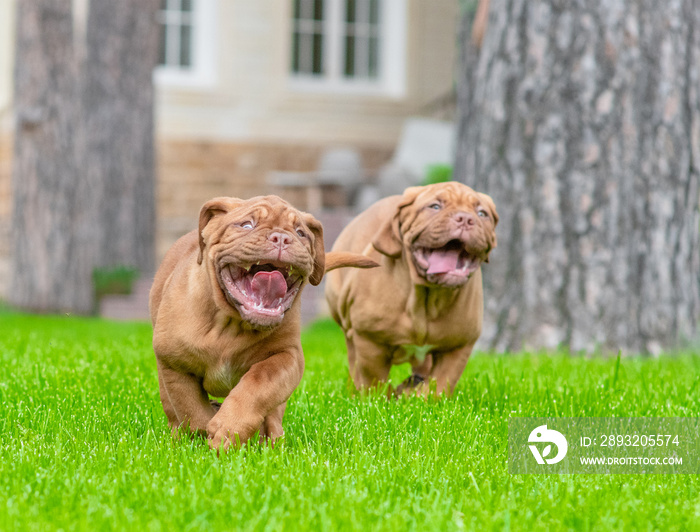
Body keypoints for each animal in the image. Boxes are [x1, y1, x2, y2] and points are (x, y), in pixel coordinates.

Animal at [150, 195, 374, 448]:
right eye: (247, 225)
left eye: (301, 233)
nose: (282, 238)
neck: (230, 324)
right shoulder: (174, 363)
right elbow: (191, 408)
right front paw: (201, 439)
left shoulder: (287, 357)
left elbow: (258, 384)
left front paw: (229, 429)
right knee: (172, 409)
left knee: (273, 413)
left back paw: (272, 442)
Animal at [324, 183, 498, 394]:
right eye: (435, 206)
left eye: (482, 213)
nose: (465, 219)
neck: (428, 297)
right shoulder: (370, 341)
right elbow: (374, 382)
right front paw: (377, 398)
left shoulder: (457, 347)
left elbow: (439, 385)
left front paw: (419, 396)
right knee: (353, 362)